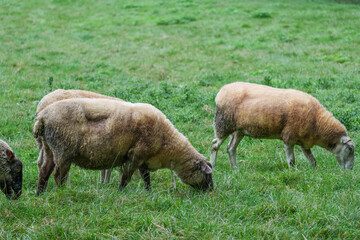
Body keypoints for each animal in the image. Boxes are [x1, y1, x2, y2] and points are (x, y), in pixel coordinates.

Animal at [33, 97, 214, 195]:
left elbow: (146, 178)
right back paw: (63, 192)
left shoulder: (143, 159)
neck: (167, 143)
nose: (211, 191)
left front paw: (149, 193)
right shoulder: (136, 155)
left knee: (44, 171)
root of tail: (43, 116)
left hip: (49, 148)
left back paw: (39, 194)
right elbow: (126, 177)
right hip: (63, 151)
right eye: (207, 175)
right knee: (58, 175)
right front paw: (120, 192)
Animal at [211, 81, 354, 170]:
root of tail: (221, 92)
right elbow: (291, 160)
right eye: (349, 149)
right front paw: (293, 172)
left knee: (231, 148)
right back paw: (212, 165)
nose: (350, 170)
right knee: (214, 144)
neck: (317, 122)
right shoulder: (289, 137)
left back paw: (235, 168)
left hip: (239, 130)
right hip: (223, 124)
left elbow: (312, 159)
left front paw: (315, 172)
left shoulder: (304, 142)